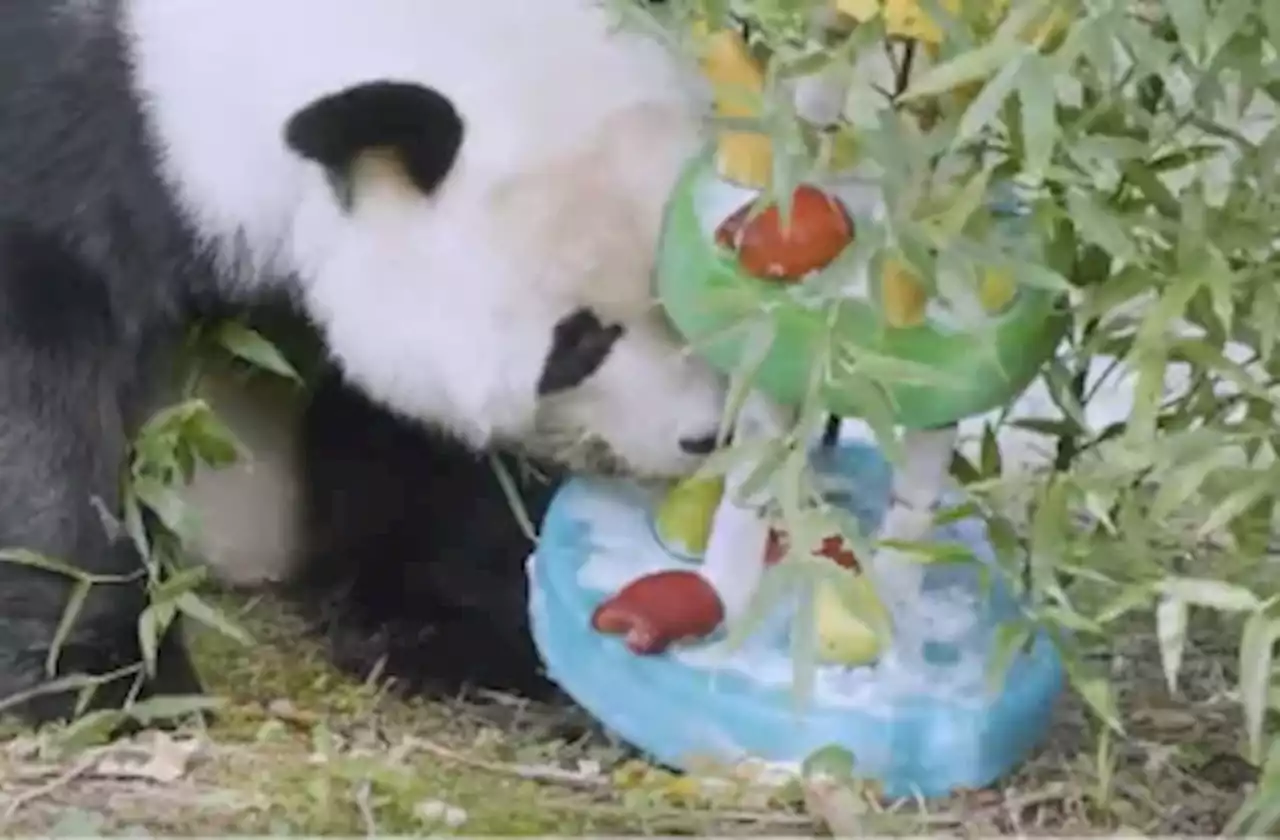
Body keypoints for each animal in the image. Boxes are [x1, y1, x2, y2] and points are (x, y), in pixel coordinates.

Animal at [0, 0, 732, 727]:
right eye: (577, 342)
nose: (704, 435)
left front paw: (443, 633)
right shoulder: (68, 140)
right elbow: (42, 405)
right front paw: (105, 673)